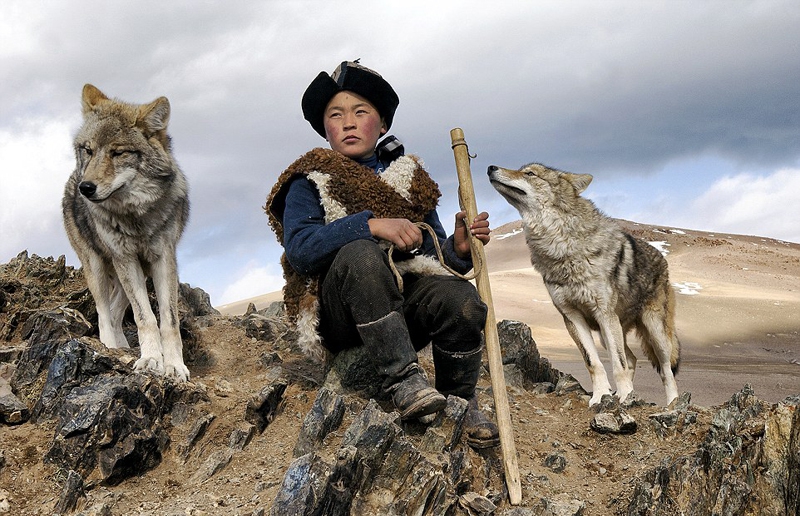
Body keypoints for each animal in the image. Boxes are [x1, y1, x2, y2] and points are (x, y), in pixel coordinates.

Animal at [62, 84, 191, 380]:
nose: (86, 188)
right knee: (103, 312)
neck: (135, 217)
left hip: (130, 274)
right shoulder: (126, 259)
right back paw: (109, 347)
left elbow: (168, 320)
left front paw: (174, 365)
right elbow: (145, 318)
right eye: (89, 150)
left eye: (118, 153)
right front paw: (151, 360)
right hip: (97, 266)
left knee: (116, 310)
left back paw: (122, 346)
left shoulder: (163, 259)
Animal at [488, 163, 680, 406]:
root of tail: (662, 259)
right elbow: (593, 362)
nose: (491, 167)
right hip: (609, 333)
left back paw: (672, 402)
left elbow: (618, 364)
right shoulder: (572, 317)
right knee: (632, 358)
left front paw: (625, 395)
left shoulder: (604, 314)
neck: (560, 247)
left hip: (654, 333)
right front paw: (601, 395)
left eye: (530, 173)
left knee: (665, 369)